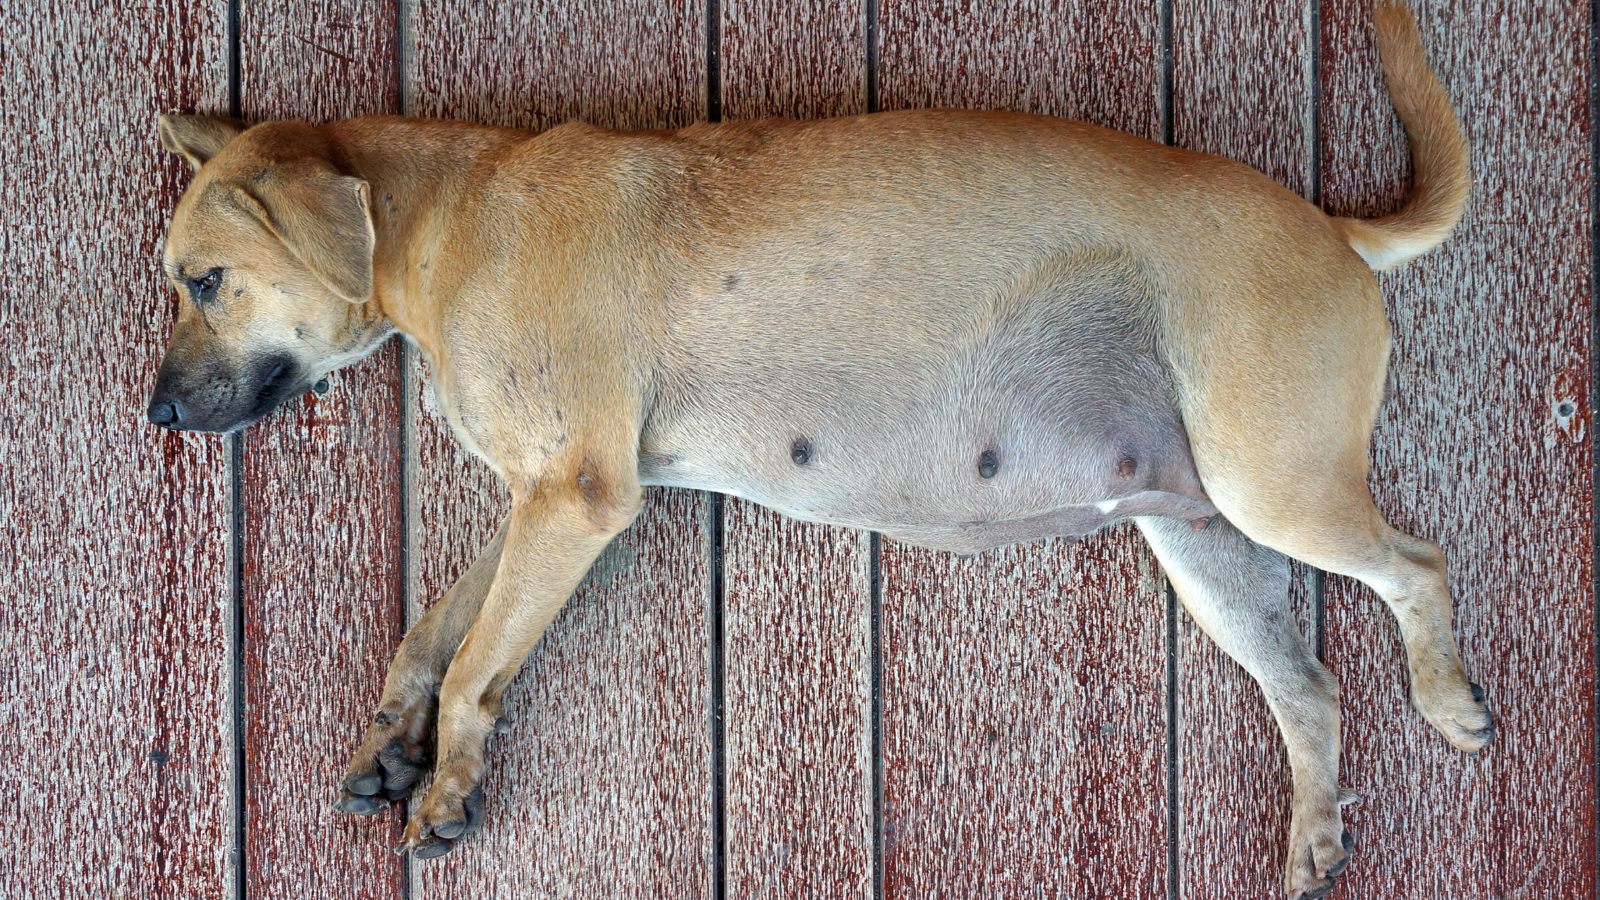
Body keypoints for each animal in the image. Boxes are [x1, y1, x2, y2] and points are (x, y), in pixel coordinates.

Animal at [147, 3, 1484, 890]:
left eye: (204, 280)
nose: (155, 414)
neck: (444, 221)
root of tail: (1330, 226)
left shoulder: (574, 501)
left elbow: (479, 660)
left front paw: (448, 785)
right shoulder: (540, 499)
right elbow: (434, 629)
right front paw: (392, 739)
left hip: (1274, 488)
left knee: (1419, 565)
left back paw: (1448, 698)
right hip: (1202, 539)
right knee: (1309, 688)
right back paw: (1314, 836)